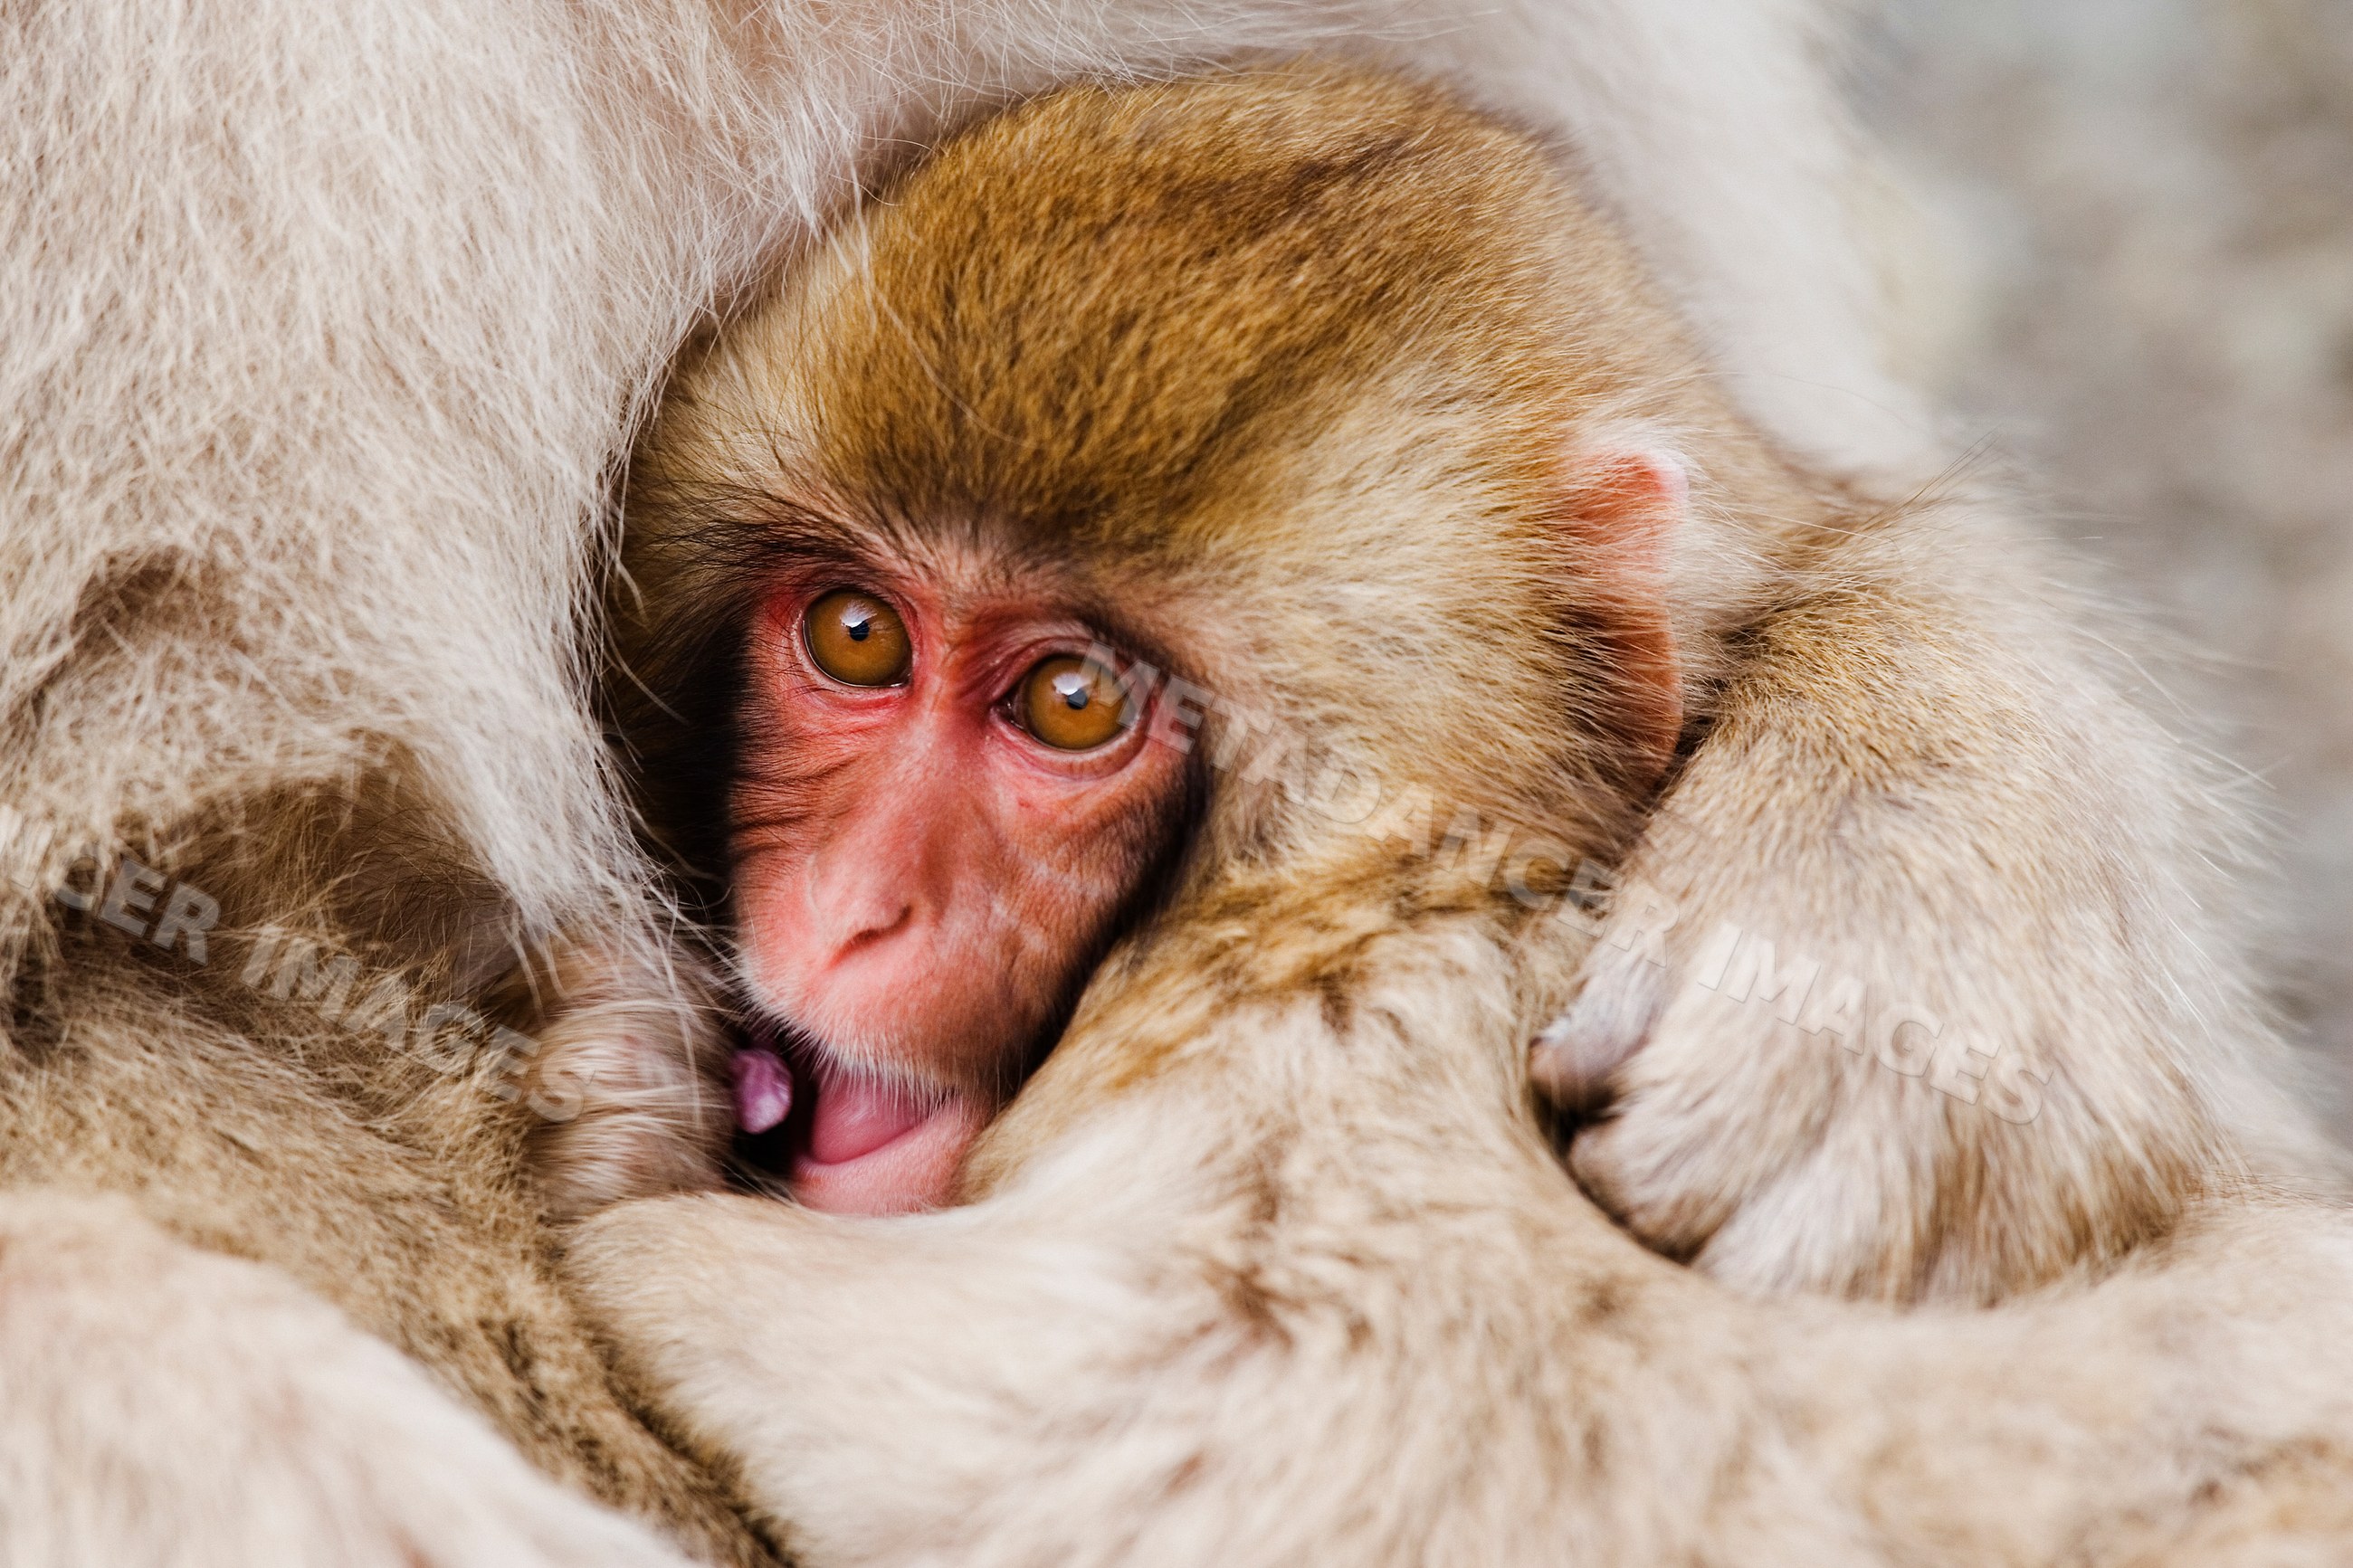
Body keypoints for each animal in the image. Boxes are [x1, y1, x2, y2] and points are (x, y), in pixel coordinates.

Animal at [555, 68, 2353, 1563]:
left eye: (1069, 700)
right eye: (858, 635)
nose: (853, 907)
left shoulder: (1355, 1015)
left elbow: (1282, 1398)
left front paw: (618, 1147)